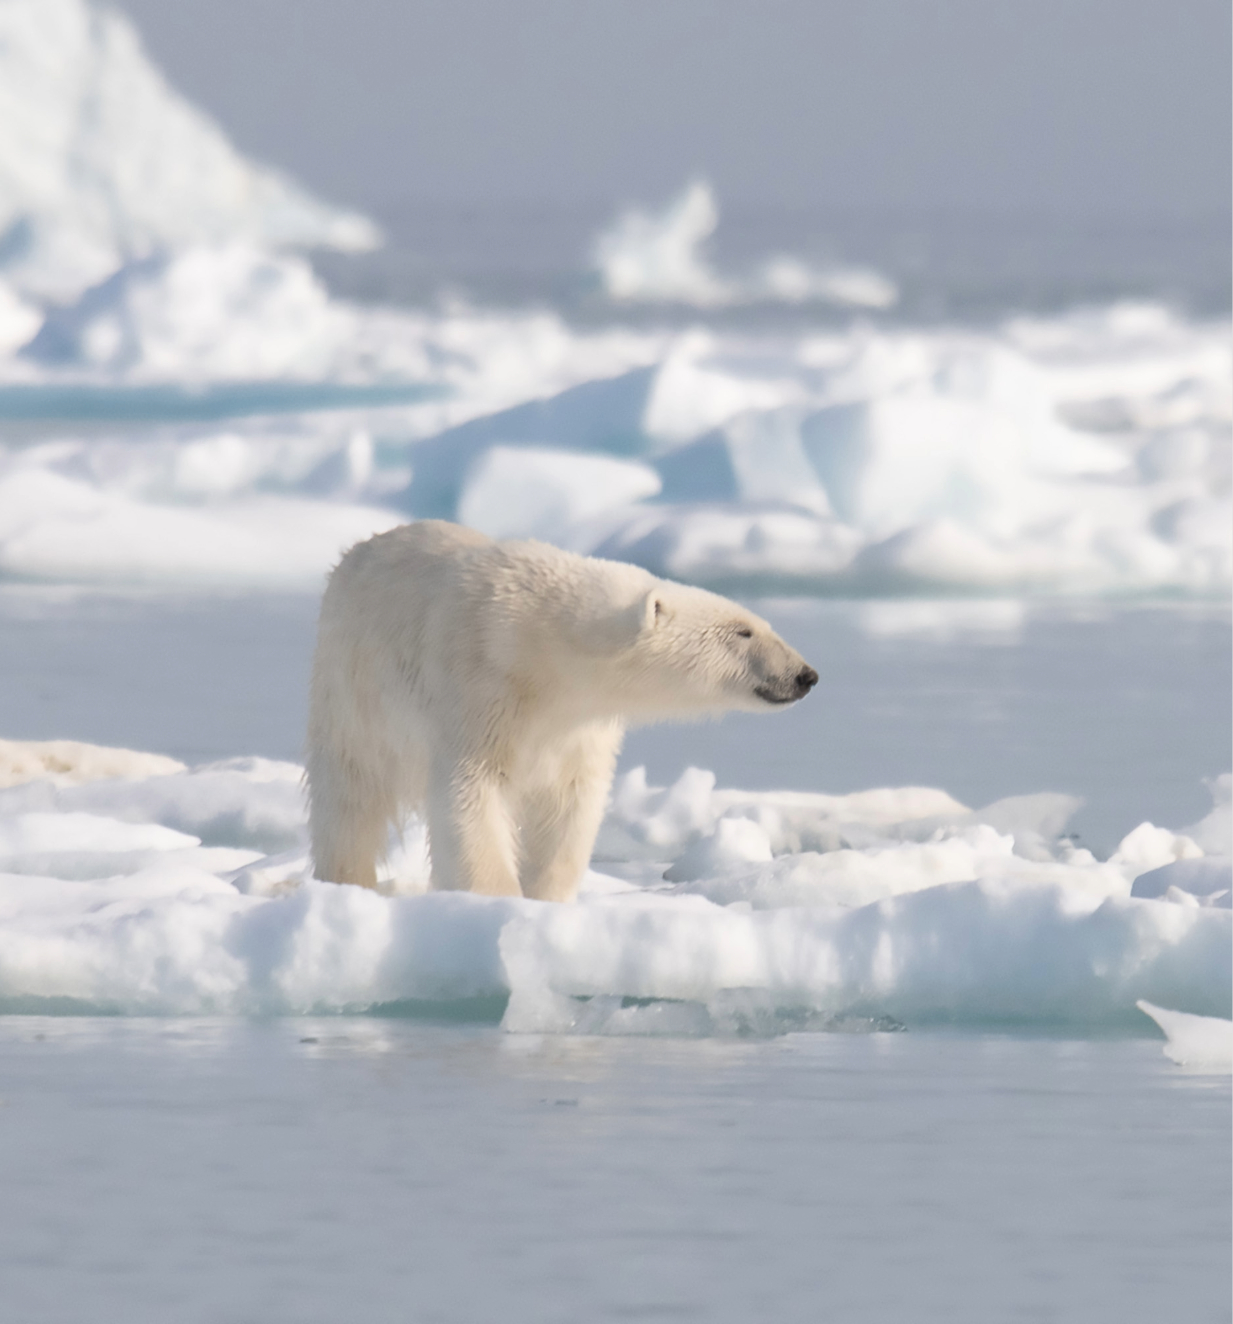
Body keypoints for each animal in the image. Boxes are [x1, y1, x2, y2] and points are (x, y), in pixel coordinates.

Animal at [306, 520, 817, 901]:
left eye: (762, 624)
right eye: (742, 632)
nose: (805, 675)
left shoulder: (580, 723)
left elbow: (571, 803)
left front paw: (545, 897)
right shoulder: (479, 685)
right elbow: (472, 791)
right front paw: (498, 899)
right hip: (352, 692)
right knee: (350, 796)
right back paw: (347, 880)